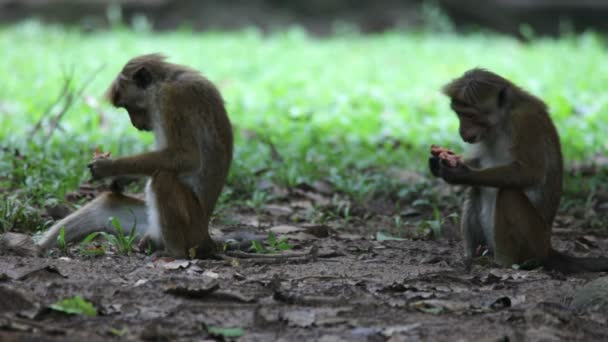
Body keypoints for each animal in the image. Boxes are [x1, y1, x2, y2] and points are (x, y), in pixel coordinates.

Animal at [37, 53, 233, 258]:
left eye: (128, 106)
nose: (134, 124)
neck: (167, 80)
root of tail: (206, 236)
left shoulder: (170, 99)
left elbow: (187, 157)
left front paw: (109, 167)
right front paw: (120, 179)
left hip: (192, 230)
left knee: (164, 178)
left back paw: (174, 254)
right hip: (152, 225)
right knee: (107, 204)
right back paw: (40, 248)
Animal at [430, 67, 608, 272]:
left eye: (471, 115)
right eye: (459, 113)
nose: (462, 131)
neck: (502, 121)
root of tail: (547, 248)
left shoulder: (524, 121)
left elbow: (530, 173)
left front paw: (462, 174)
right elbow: (478, 161)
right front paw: (437, 163)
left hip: (534, 242)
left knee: (508, 193)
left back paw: (502, 263)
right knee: (474, 190)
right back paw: (473, 256)